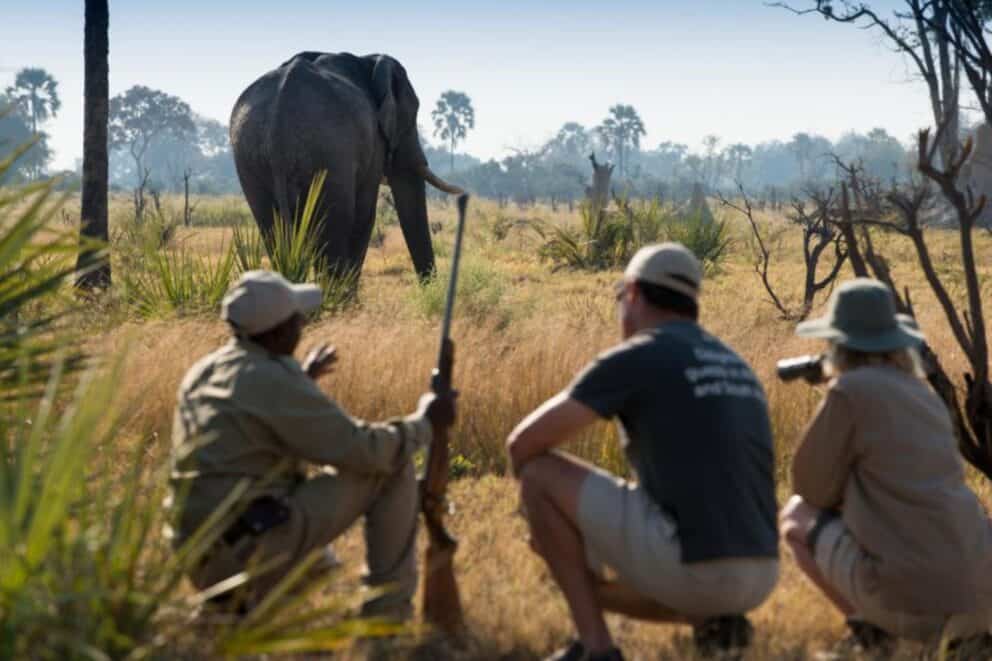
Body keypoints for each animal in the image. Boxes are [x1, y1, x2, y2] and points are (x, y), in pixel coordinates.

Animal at [230, 51, 462, 282]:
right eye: (410, 118)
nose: (429, 289)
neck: (368, 60)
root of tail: (278, 117)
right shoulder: (374, 141)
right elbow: (366, 216)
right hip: (330, 153)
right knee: (337, 224)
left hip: (250, 157)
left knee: (270, 225)